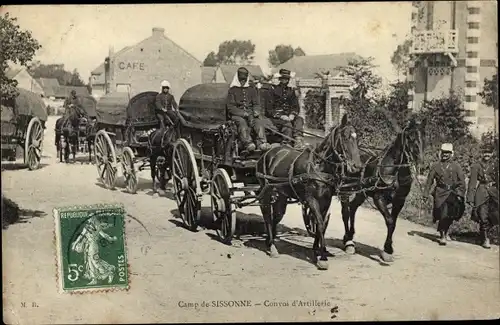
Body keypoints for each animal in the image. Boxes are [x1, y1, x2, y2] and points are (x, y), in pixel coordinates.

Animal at [256, 115, 362, 270]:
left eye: (356, 137)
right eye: (345, 137)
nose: (357, 166)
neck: (319, 166)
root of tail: (267, 154)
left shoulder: (326, 200)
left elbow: (321, 224)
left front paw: (317, 251)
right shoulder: (311, 200)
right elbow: (320, 223)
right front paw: (322, 257)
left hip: (281, 196)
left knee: (277, 216)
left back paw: (271, 240)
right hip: (266, 191)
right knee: (267, 215)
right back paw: (271, 246)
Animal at [340, 115, 426, 262]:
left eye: (422, 135)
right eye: (409, 136)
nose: (419, 159)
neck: (394, 171)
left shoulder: (399, 200)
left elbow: (394, 223)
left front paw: (388, 249)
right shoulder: (378, 198)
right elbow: (390, 221)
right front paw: (387, 250)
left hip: (361, 193)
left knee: (353, 207)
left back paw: (351, 235)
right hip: (344, 189)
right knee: (345, 211)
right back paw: (348, 241)